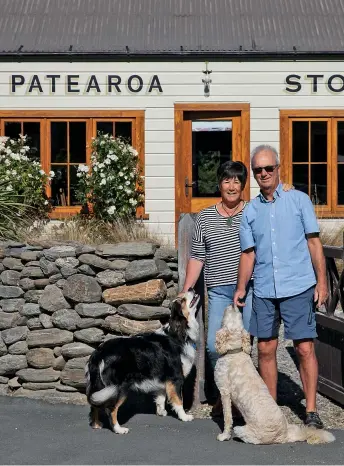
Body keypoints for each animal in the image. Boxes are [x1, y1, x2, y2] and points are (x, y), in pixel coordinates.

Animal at [214, 306, 334, 444]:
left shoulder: (224, 392)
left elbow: (227, 418)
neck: (235, 352)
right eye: (239, 315)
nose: (233, 305)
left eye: (230, 315)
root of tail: (284, 436)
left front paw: (224, 435)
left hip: (243, 430)